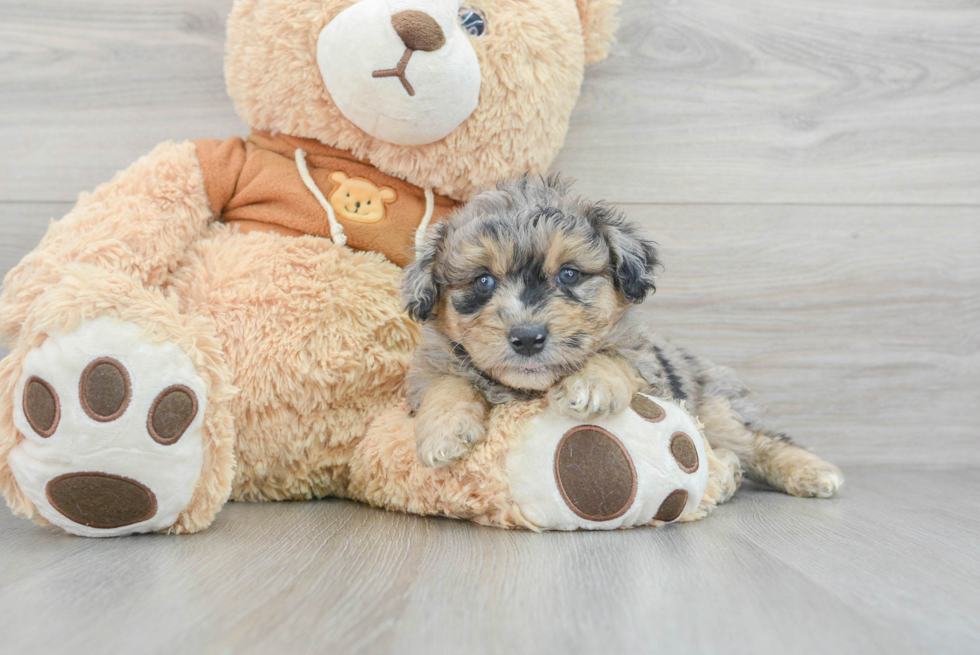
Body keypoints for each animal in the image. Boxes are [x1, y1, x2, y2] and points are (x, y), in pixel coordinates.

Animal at [398, 174, 844, 498]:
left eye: (570, 274)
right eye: (483, 281)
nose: (527, 337)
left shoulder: (646, 365)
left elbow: (612, 356)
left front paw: (590, 386)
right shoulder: (431, 367)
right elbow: (445, 384)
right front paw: (444, 433)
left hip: (718, 409)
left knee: (760, 441)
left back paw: (810, 472)